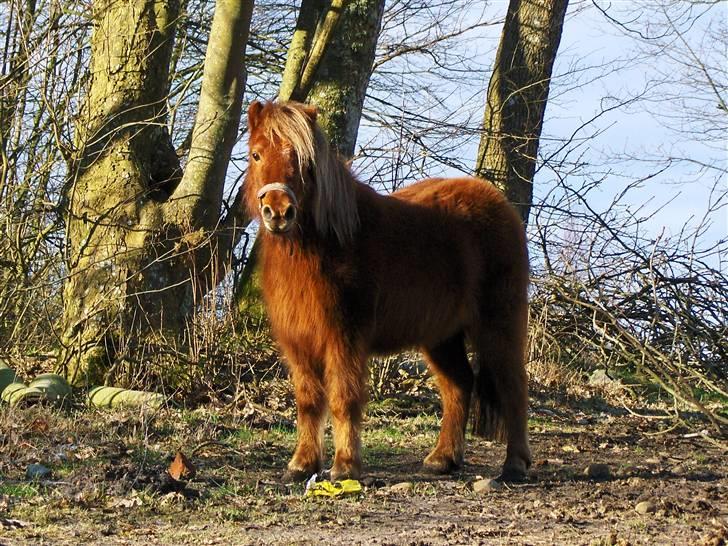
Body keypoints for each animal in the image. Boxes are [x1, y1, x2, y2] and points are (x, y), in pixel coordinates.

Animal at [242, 100, 532, 478]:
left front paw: (345, 466)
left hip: (498, 325)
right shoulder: (298, 342)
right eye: (256, 154)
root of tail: (502, 206)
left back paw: (515, 463)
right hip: (442, 336)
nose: (278, 212)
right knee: (459, 385)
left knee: (512, 385)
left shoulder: (344, 337)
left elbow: (343, 397)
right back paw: (443, 458)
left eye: (304, 161)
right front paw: (302, 464)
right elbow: (308, 400)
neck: (324, 244)